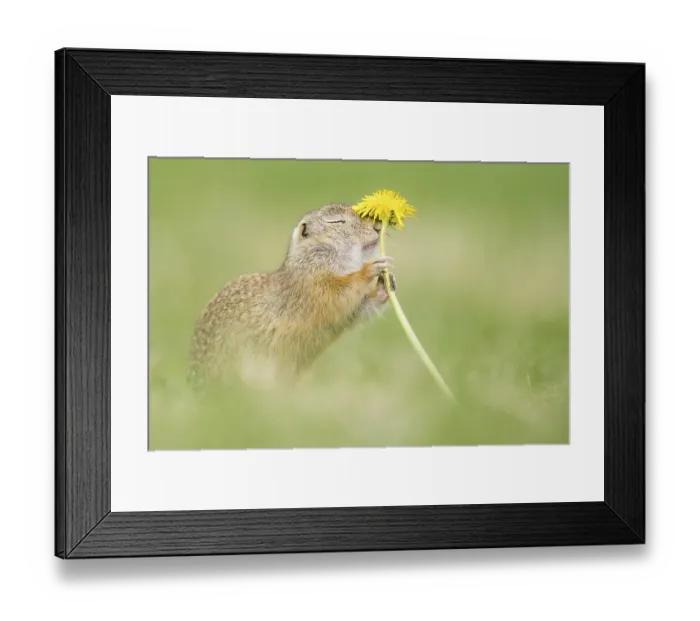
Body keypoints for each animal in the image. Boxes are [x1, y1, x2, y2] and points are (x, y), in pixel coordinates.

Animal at [188, 203, 396, 388]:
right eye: (337, 221)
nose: (378, 227)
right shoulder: (313, 285)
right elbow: (338, 293)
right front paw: (370, 269)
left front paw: (385, 283)